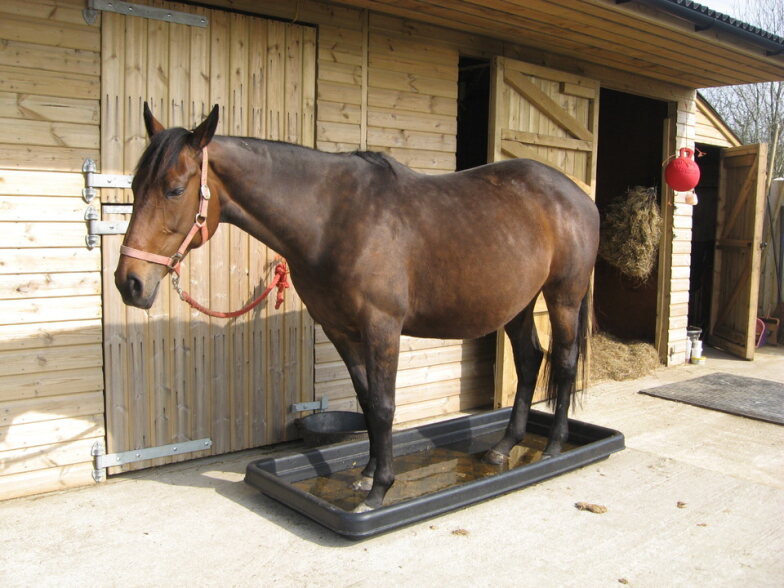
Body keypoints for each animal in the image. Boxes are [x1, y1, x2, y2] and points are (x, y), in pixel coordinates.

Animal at [113, 107, 596, 516]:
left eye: (175, 189)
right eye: (135, 187)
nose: (128, 282)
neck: (333, 219)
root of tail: (578, 195)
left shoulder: (381, 327)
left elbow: (383, 406)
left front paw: (379, 491)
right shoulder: (340, 329)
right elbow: (365, 401)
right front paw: (365, 476)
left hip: (563, 297)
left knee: (564, 362)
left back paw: (554, 447)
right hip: (518, 304)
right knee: (530, 360)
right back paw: (503, 446)